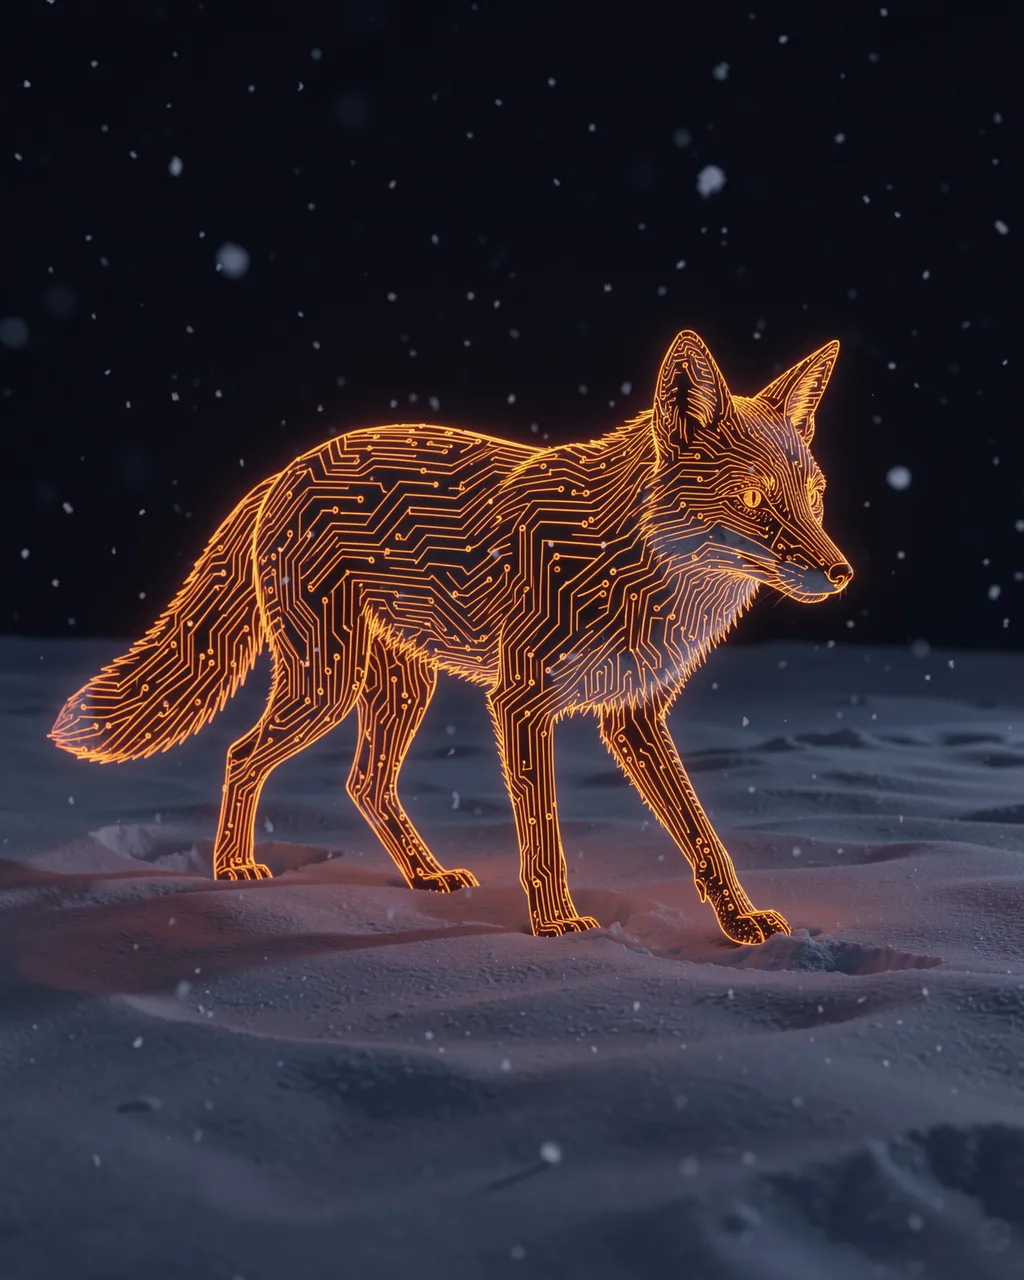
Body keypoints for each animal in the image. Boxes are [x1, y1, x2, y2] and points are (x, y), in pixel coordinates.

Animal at [50, 329, 852, 945]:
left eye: (815, 497)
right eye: (754, 500)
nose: (841, 573)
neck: (631, 569)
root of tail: (284, 471)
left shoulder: (633, 717)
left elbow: (702, 835)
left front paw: (740, 924)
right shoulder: (521, 703)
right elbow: (544, 835)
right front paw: (557, 927)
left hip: (403, 688)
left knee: (363, 782)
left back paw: (425, 875)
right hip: (327, 687)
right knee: (242, 756)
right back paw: (233, 873)